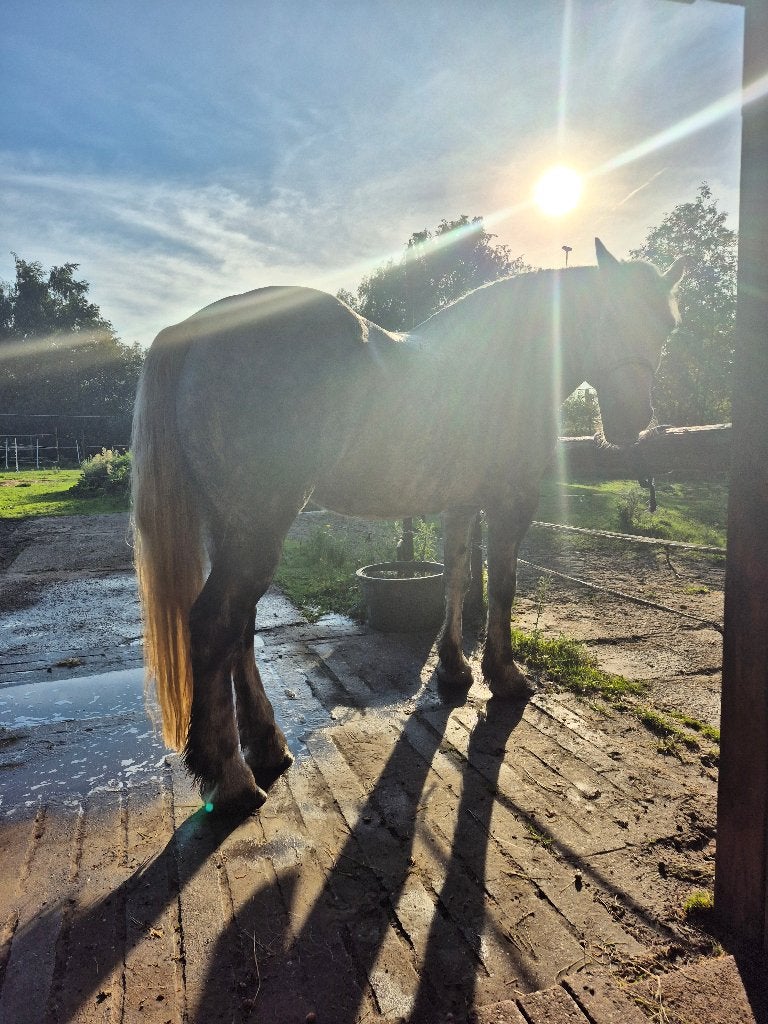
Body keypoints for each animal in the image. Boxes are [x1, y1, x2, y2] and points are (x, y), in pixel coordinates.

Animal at [132, 238, 685, 816]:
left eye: (666, 327)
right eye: (605, 313)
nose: (630, 421)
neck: (503, 363)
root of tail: (196, 328)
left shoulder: (461, 504)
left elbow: (457, 578)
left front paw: (454, 670)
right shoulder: (510, 502)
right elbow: (502, 588)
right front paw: (505, 676)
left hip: (233, 528)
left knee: (239, 631)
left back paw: (269, 746)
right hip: (257, 528)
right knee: (214, 627)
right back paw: (233, 779)